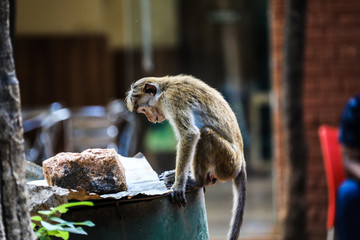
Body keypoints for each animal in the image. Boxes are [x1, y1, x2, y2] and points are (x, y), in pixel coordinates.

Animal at [125, 75, 246, 240]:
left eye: (143, 110)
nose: (150, 119)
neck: (164, 88)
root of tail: (241, 162)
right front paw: (175, 176)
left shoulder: (172, 100)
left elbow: (189, 135)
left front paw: (178, 184)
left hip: (228, 162)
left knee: (205, 134)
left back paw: (197, 181)